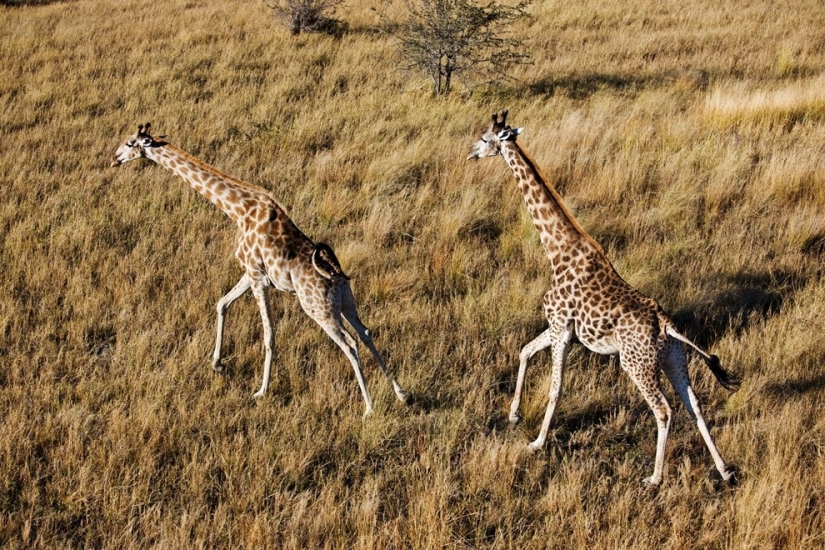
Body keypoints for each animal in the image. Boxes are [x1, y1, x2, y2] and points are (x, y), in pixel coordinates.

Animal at [111, 123, 408, 416]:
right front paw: (217, 364)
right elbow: (222, 304)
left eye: (129, 143)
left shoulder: (258, 278)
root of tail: (335, 274)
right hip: (346, 302)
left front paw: (261, 391)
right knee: (365, 333)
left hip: (318, 310)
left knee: (349, 344)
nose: (114, 159)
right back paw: (401, 393)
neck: (238, 211)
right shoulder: (251, 273)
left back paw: (369, 409)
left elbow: (269, 336)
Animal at [466, 112, 744, 488]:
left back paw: (655, 478)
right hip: (674, 359)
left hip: (636, 364)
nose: (471, 153)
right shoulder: (560, 328)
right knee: (694, 405)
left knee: (664, 410)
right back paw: (724, 469)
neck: (556, 250)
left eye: (485, 138)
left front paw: (537, 442)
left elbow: (555, 389)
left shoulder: (561, 328)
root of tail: (666, 326)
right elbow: (524, 351)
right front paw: (513, 415)